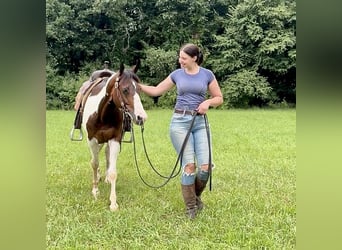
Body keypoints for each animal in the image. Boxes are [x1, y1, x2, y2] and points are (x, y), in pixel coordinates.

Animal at [83, 62, 148, 211]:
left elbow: (113, 171)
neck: (102, 114)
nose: (141, 117)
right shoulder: (92, 140)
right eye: (125, 90)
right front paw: (95, 191)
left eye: (139, 89)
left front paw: (113, 202)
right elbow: (94, 163)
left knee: (106, 154)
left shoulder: (115, 140)